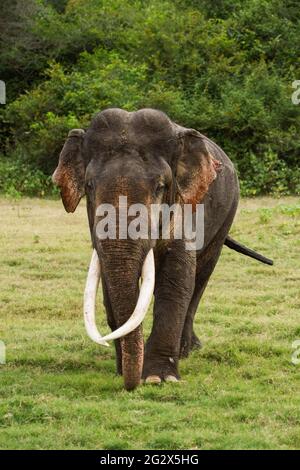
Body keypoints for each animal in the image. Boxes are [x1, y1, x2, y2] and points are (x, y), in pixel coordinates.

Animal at [52, 108, 274, 392]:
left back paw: (187, 350)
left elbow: (176, 278)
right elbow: (107, 283)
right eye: (89, 185)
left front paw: (158, 378)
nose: (130, 385)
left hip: (228, 214)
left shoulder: (183, 208)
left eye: (160, 186)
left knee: (201, 277)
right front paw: (123, 370)